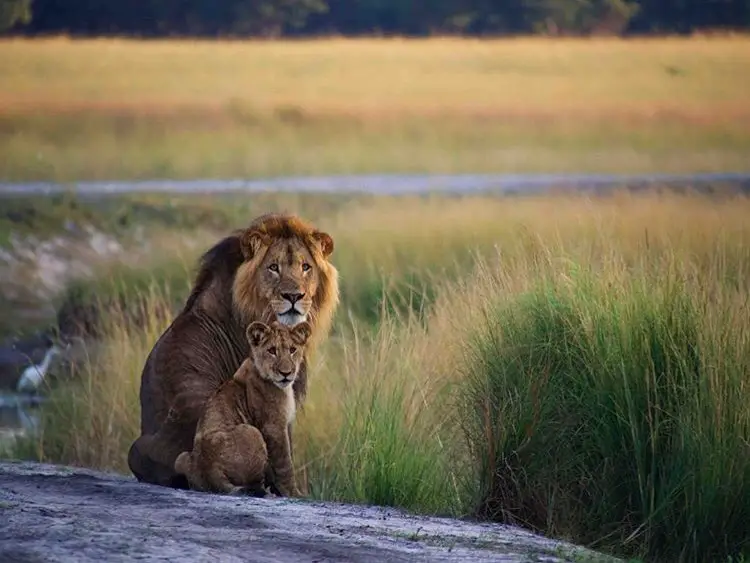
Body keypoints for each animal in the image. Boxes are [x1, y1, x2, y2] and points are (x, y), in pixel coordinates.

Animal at [128, 214, 340, 486]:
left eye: (306, 267)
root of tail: (203, 463)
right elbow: (285, 457)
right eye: (273, 267)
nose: (294, 296)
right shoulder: (278, 404)